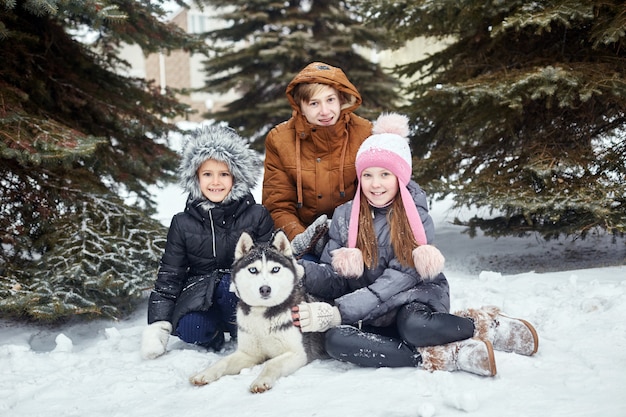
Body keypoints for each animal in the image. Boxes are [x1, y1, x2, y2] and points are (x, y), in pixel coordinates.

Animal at [188, 229, 324, 392]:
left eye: (275, 269)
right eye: (253, 270)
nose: (265, 289)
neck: (262, 314)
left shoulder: (298, 353)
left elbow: (272, 363)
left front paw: (261, 381)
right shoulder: (248, 353)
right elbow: (223, 362)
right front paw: (204, 374)